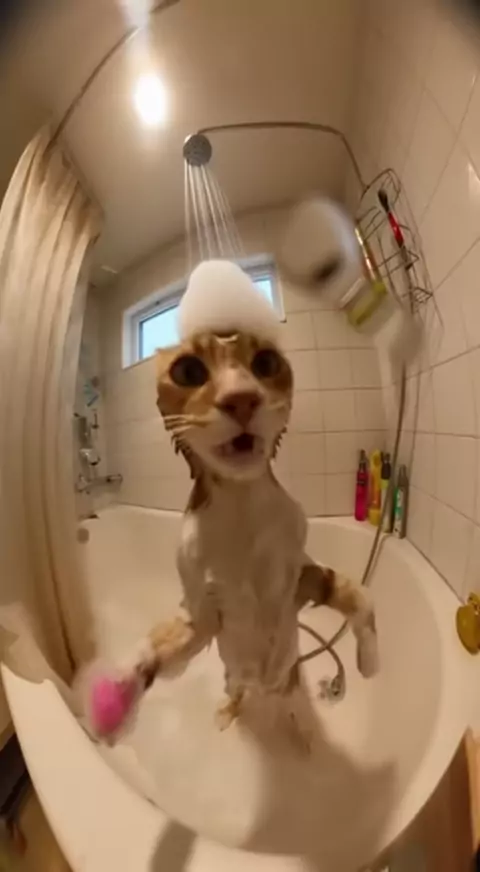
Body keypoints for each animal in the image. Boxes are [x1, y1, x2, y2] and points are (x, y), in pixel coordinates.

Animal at [128, 328, 378, 736]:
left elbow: (361, 595)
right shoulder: (201, 613)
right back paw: (230, 711)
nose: (241, 398)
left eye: (266, 362)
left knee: (293, 705)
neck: (242, 506)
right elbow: (162, 647)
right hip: (234, 677)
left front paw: (369, 662)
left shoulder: (303, 577)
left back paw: (305, 734)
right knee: (238, 691)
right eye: (188, 371)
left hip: (289, 682)